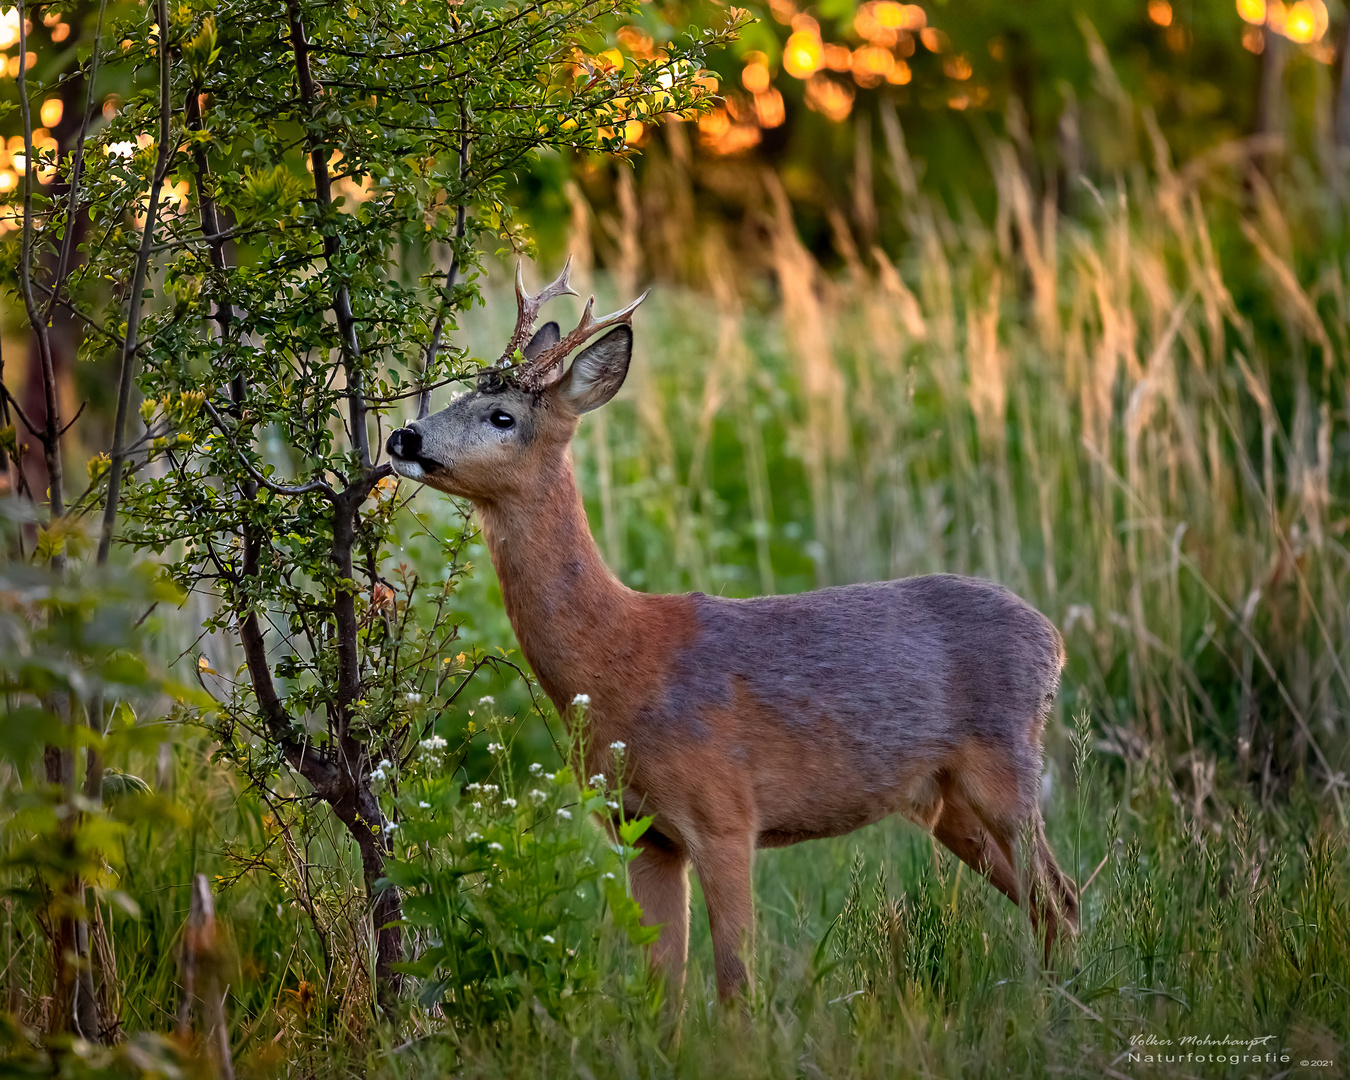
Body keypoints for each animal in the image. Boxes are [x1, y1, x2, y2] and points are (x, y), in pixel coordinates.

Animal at [388, 263, 1074, 1004]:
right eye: (462, 393)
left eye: (502, 416)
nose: (405, 438)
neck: (621, 660)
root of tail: (1053, 638)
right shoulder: (643, 831)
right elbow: (663, 990)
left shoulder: (724, 810)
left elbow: (737, 986)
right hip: (941, 799)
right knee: (1046, 903)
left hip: (1004, 761)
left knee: (1059, 897)